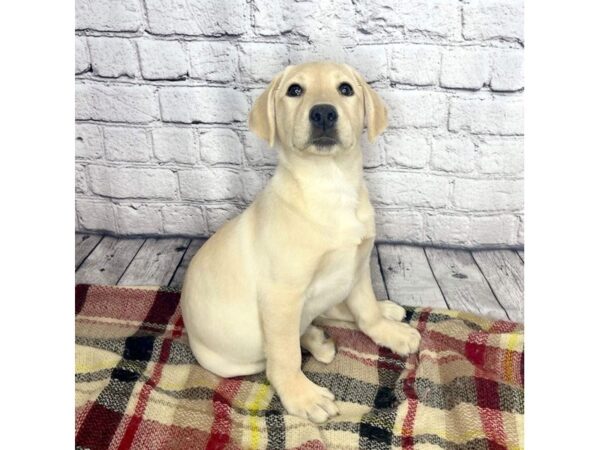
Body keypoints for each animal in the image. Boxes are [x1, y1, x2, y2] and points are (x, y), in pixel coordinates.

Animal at [180, 61, 420, 424]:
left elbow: (365, 311)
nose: (322, 113)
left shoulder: (359, 265)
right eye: (295, 90)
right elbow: (285, 355)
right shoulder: (281, 295)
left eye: (346, 89)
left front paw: (387, 331)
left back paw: (377, 313)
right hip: (233, 359)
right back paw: (317, 341)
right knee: (284, 344)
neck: (330, 184)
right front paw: (301, 395)